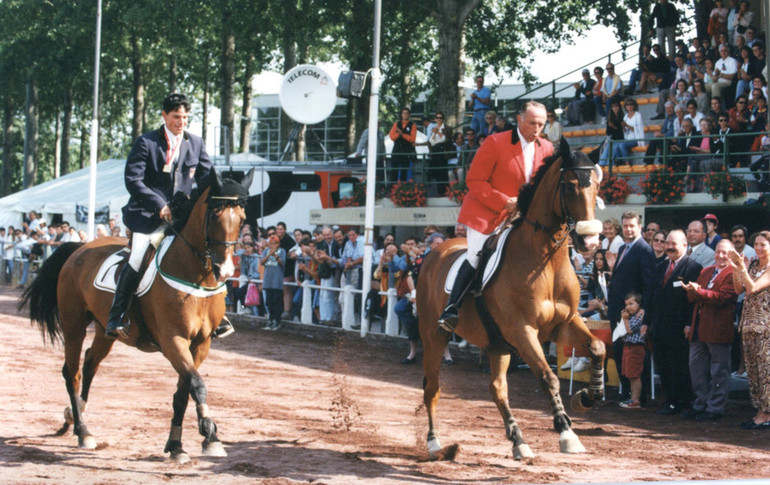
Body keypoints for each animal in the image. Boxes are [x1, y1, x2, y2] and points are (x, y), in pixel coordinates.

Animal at [18, 169, 252, 462]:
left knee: (90, 364)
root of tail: (79, 248)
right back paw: (83, 431)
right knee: (72, 372)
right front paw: (210, 435)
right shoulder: (172, 339)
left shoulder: (202, 343)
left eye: (242, 219)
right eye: (214, 215)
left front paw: (176, 445)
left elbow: (183, 392)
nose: (226, 270)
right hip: (74, 326)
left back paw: (73, 415)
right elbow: (197, 385)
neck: (195, 275)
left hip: (105, 330)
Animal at [416, 140, 604, 462]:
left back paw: (518, 440)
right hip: (434, 336)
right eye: (569, 186)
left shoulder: (564, 324)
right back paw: (436, 445)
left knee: (497, 389)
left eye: (597, 186)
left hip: (497, 343)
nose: (589, 242)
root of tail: (434, 252)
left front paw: (588, 396)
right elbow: (548, 377)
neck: (546, 262)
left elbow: (597, 347)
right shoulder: (522, 330)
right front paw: (566, 432)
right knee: (433, 388)